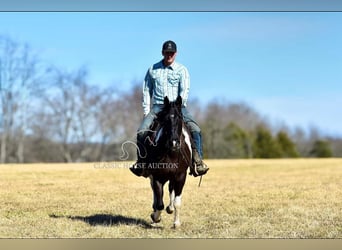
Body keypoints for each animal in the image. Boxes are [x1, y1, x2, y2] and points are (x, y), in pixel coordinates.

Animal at [140, 95, 192, 229]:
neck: (171, 153)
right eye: (166, 119)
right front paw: (155, 217)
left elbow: (177, 201)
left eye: (180, 118)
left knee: (170, 190)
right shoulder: (157, 177)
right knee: (156, 194)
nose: (174, 143)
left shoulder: (180, 176)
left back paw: (170, 208)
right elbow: (159, 203)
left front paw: (176, 223)